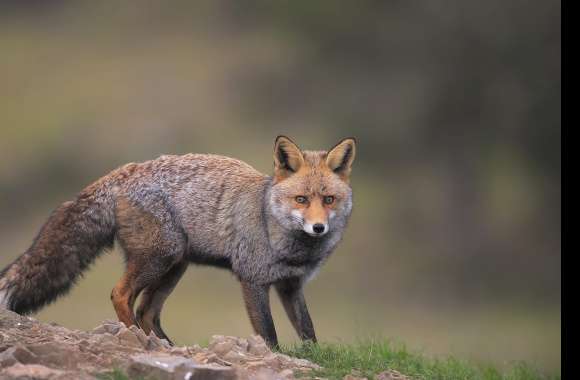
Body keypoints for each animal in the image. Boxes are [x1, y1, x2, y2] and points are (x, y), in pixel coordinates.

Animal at [0, 137, 356, 348]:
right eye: (301, 199)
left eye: (328, 199)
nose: (319, 228)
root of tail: (128, 169)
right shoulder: (252, 279)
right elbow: (268, 334)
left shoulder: (291, 286)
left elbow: (308, 331)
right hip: (159, 258)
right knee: (121, 295)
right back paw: (140, 341)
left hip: (174, 267)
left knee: (147, 311)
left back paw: (166, 346)